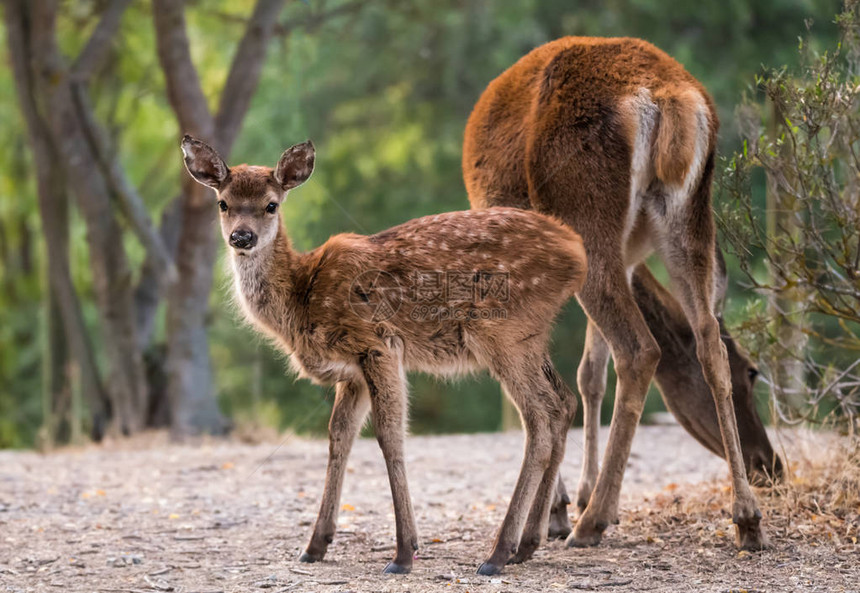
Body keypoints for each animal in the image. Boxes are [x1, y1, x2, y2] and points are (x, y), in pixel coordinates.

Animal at [179, 135, 588, 572]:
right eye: (223, 203)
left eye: (271, 204)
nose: (242, 238)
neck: (301, 296)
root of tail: (578, 253)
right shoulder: (351, 373)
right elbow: (338, 437)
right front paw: (315, 545)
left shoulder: (377, 345)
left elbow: (390, 437)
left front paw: (404, 552)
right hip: (531, 335)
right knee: (563, 401)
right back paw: (528, 543)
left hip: (501, 330)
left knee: (539, 415)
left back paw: (498, 552)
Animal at [466, 38, 768, 552]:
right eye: (753, 371)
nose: (771, 464)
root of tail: (667, 98)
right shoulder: (627, 259)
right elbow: (590, 371)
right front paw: (577, 495)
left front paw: (560, 509)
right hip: (687, 219)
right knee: (707, 340)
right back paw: (747, 519)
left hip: (584, 211)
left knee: (640, 348)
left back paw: (593, 522)